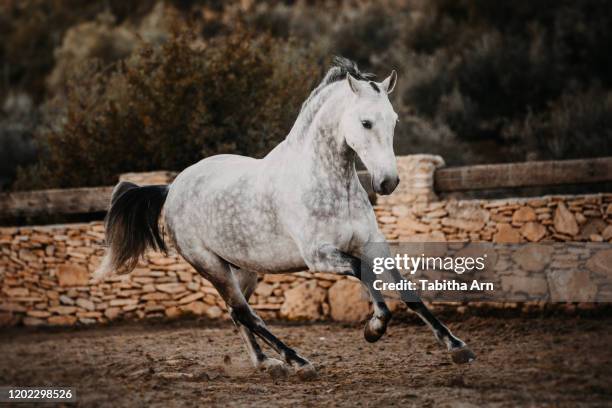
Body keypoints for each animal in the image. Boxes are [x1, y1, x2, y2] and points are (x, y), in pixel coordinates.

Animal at [95, 56, 476, 380]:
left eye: (394, 121)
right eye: (365, 122)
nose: (388, 182)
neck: (328, 183)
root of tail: (173, 188)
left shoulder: (372, 243)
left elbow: (406, 289)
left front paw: (457, 347)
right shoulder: (319, 256)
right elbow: (363, 273)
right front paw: (375, 328)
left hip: (244, 268)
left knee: (238, 313)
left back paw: (267, 363)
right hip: (211, 265)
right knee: (244, 313)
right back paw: (299, 362)